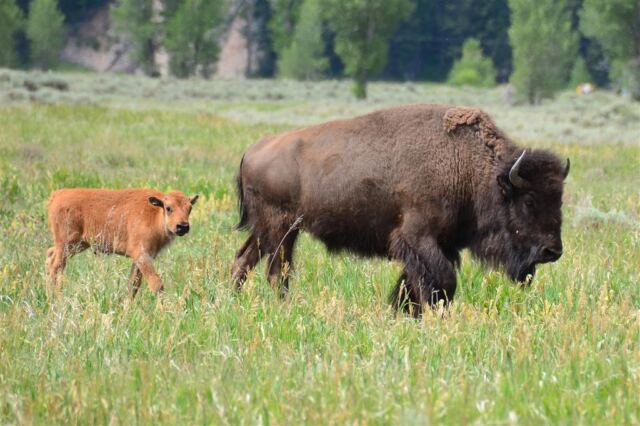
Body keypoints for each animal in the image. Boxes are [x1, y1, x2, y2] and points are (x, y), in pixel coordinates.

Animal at [231, 104, 569, 315]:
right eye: (529, 201)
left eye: (559, 200)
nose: (552, 251)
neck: (468, 168)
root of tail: (254, 149)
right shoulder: (418, 238)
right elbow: (441, 282)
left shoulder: (437, 246)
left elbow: (412, 285)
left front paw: (402, 313)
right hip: (282, 228)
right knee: (277, 271)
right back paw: (284, 308)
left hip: (269, 229)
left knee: (244, 260)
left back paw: (233, 299)